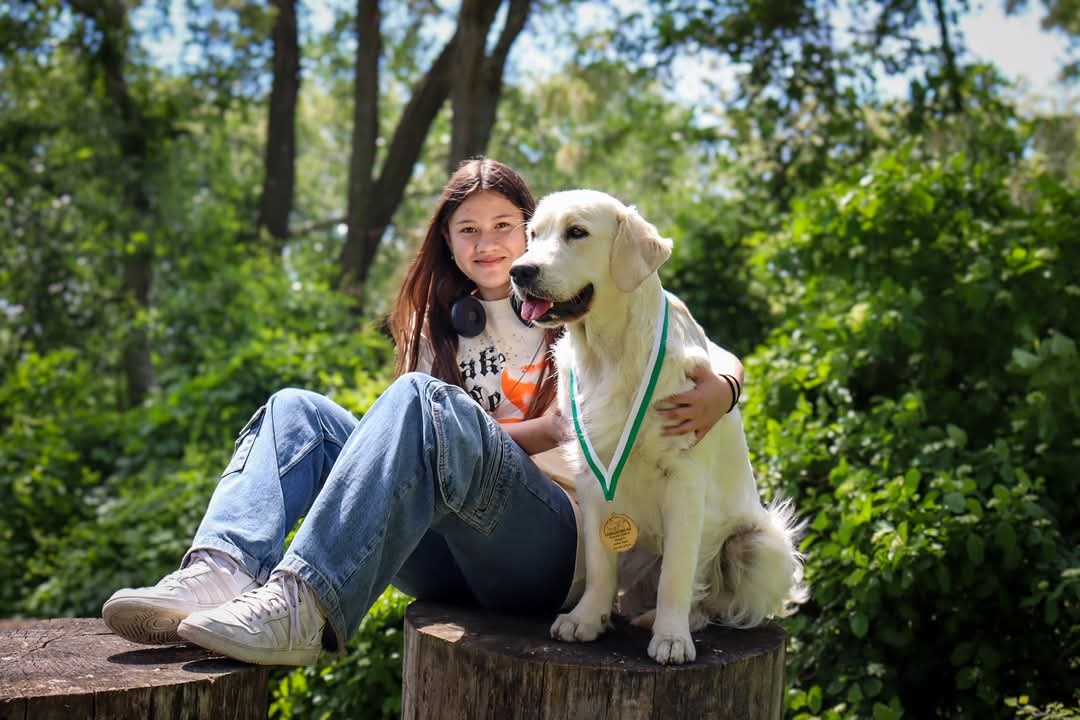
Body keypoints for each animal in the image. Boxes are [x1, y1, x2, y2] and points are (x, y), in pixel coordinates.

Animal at [509, 189, 807, 664]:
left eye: (577, 232)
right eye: (534, 235)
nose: (520, 271)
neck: (609, 353)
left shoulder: (685, 481)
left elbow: (677, 575)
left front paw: (671, 638)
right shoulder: (591, 477)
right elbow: (600, 564)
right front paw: (586, 619)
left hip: (758, 542)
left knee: (710, 597)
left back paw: (673, 620)